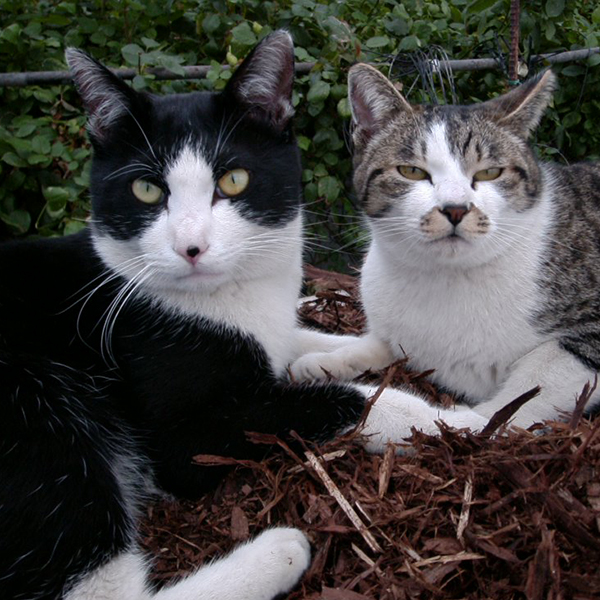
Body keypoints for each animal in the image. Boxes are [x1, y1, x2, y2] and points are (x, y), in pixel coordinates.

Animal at [0, 32, 376, 600]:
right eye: (146, 189)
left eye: (235, 179)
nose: (190, 247)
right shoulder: (185, 433)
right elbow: (350, 402)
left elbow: (302, 340)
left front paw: (374, 348)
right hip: (34, 410)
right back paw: (279, 549)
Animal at [292, 64, 600, 436]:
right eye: (411, 171)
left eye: (490, 172)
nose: (455, 208)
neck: (445, 276)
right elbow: (378, 343)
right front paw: (323, 360)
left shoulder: (589, 338)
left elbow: (502, 409)